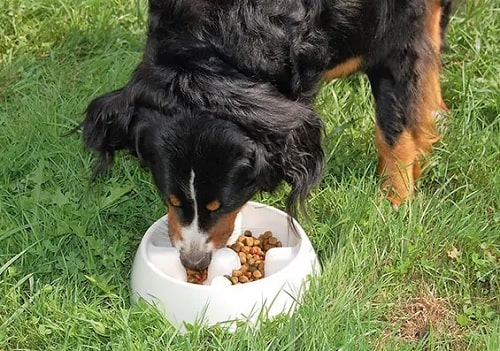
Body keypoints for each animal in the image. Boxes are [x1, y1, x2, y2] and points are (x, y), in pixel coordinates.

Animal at [83, 0, 454, 270]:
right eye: (171, 200)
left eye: (221, 205)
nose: (194, 261)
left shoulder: (396, 30)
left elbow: (394, 128)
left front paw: (395, 203)